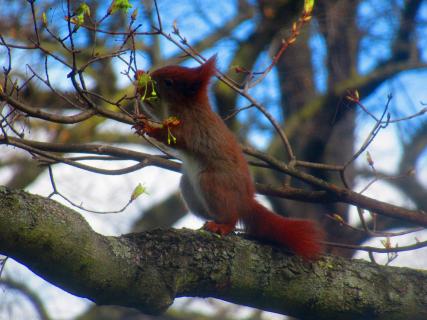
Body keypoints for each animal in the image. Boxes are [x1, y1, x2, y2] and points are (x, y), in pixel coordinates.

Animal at [134, 55, 324, 260]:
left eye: (169, 82)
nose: (150, 76)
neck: (188, 105)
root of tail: (245, 202)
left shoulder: (191, 126)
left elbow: (173, 137)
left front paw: (148, 127)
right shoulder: (163, 111)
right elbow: (152, 109)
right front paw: (139, 80)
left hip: (212, 183)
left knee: (231, 217)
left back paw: (222, 226)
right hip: (189, 188)